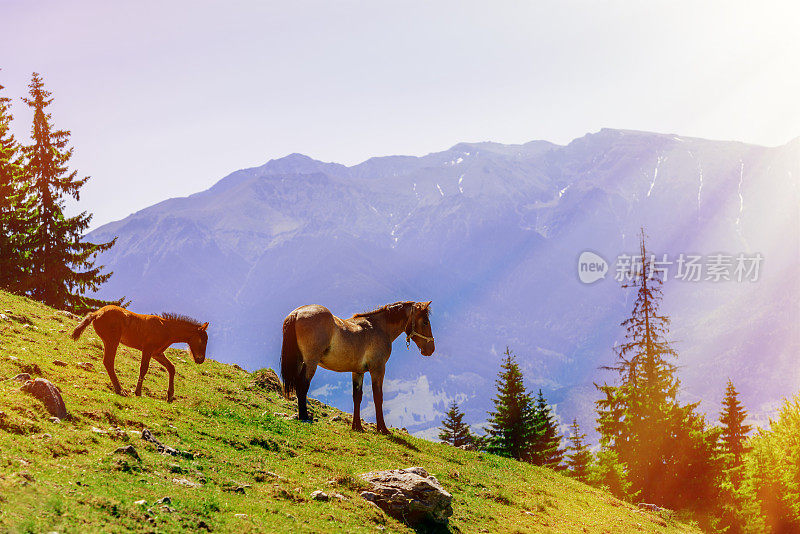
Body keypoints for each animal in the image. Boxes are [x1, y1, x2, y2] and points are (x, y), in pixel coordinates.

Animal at [72, 306, 209, 402]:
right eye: (202, 340)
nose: (200, 360)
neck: (166, 328)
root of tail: (96, 313)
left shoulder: (157, 353)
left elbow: (171, 368)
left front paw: (170, 396)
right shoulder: (147, 349)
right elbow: (144, 368)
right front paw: (138, 392)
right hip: (112, 341)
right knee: (108, 361)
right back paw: (120, 390)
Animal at [278, 302, 434, 436]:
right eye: (425, 322)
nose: (431, 349)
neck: (379, 327)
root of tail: (297, 313)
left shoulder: (358, 372)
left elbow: (357, 397)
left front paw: (357, 426)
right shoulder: (378, 369)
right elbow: (378, 397)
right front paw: (382, 429)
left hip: (300, 362)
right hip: (311, 362)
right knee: (302, 385)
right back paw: (304, 416)